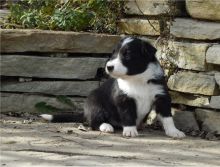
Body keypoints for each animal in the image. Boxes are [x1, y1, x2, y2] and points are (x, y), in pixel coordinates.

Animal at [40, 37, 185, 138]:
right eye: (113, 54)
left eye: (127, 55)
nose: (108, 67)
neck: (137, 79)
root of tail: (85, 112)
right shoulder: (123, 99)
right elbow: (128, 115)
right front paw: (130, 130)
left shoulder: (161, 96)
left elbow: (167, 117)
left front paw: (174, 132)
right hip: (95, 104)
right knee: (94, 123)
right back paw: (106, 126)